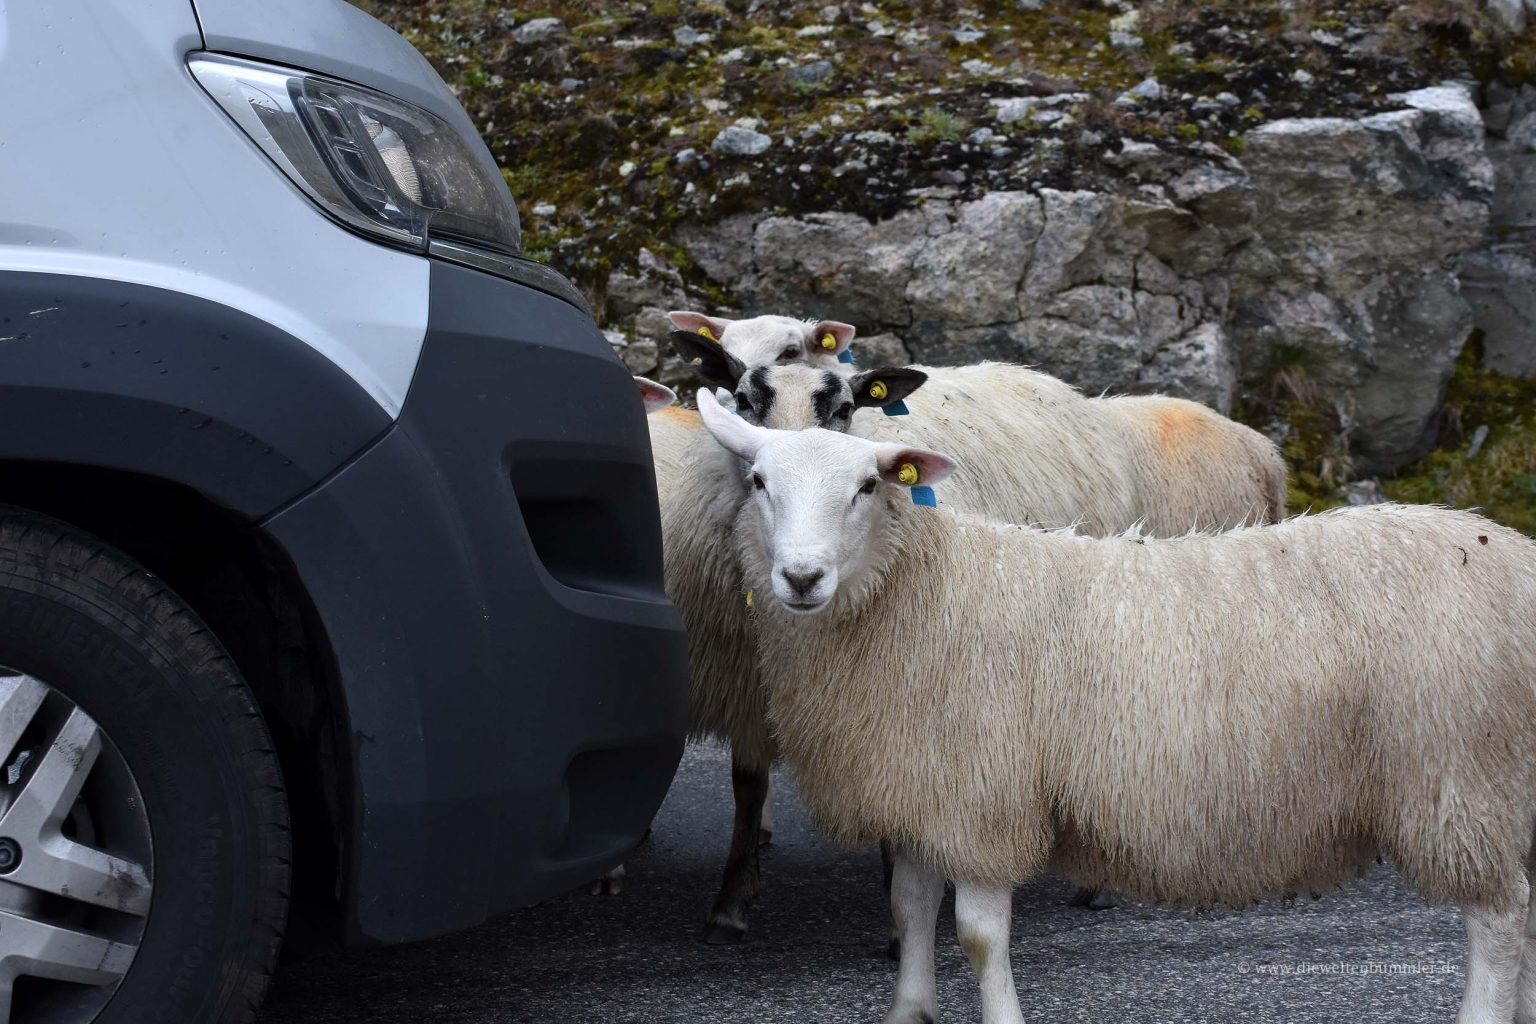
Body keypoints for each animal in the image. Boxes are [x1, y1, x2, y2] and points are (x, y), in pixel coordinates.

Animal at [697, 388, 1536, 1024]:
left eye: (867, 488)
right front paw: (910, 1013)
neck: (920, 590)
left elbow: (976, 936)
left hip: (1460, 777)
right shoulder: (925, 790)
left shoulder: (987, 799)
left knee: (1500, 917)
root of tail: (1512, 553)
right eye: (760, 482)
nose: (802, 578)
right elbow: (909, 911)